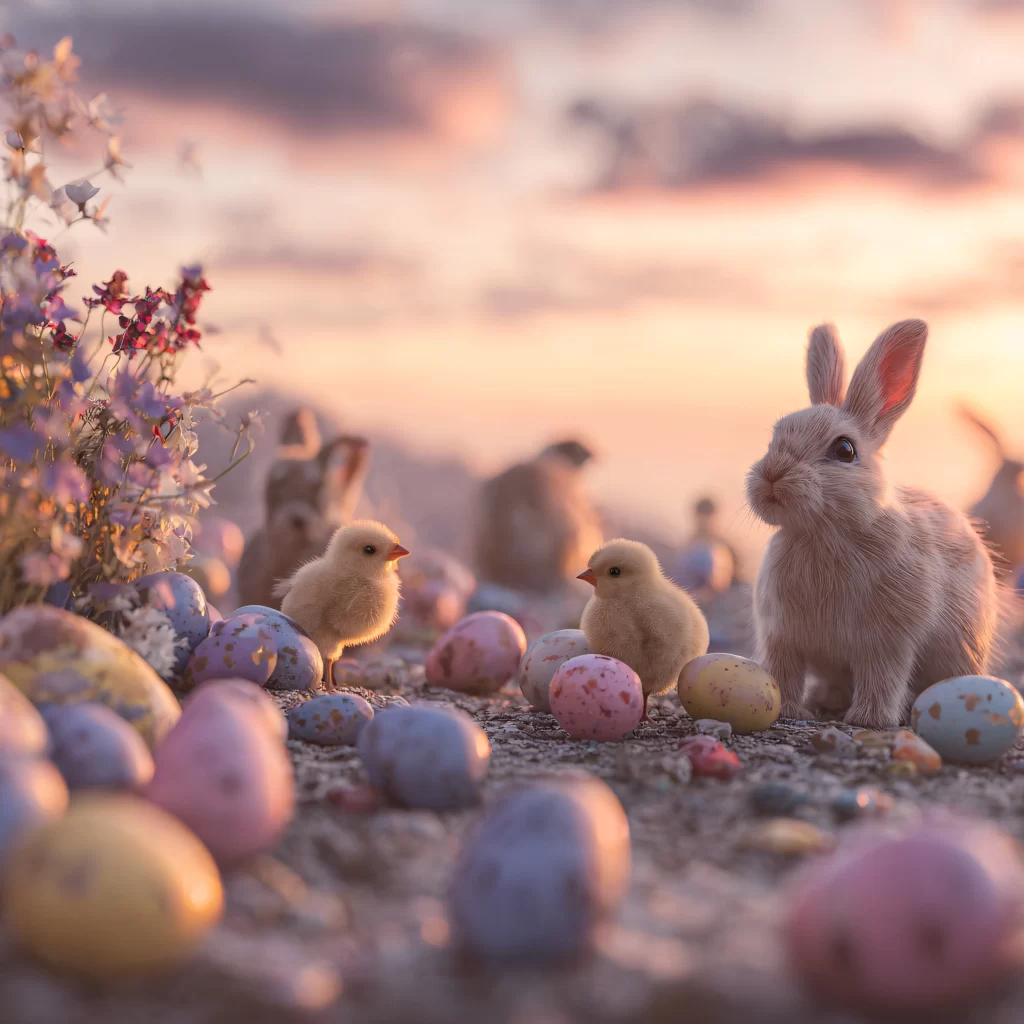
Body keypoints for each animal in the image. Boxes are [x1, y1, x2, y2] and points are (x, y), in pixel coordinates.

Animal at [746, 319, 998, 729]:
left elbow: (882, 676)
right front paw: (785, 709)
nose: (771, 475)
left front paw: (869, 720)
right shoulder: (782, 636)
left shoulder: (886, 640)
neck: (823, 532)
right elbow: (784, 672)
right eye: (775, 437)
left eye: (845, 450)